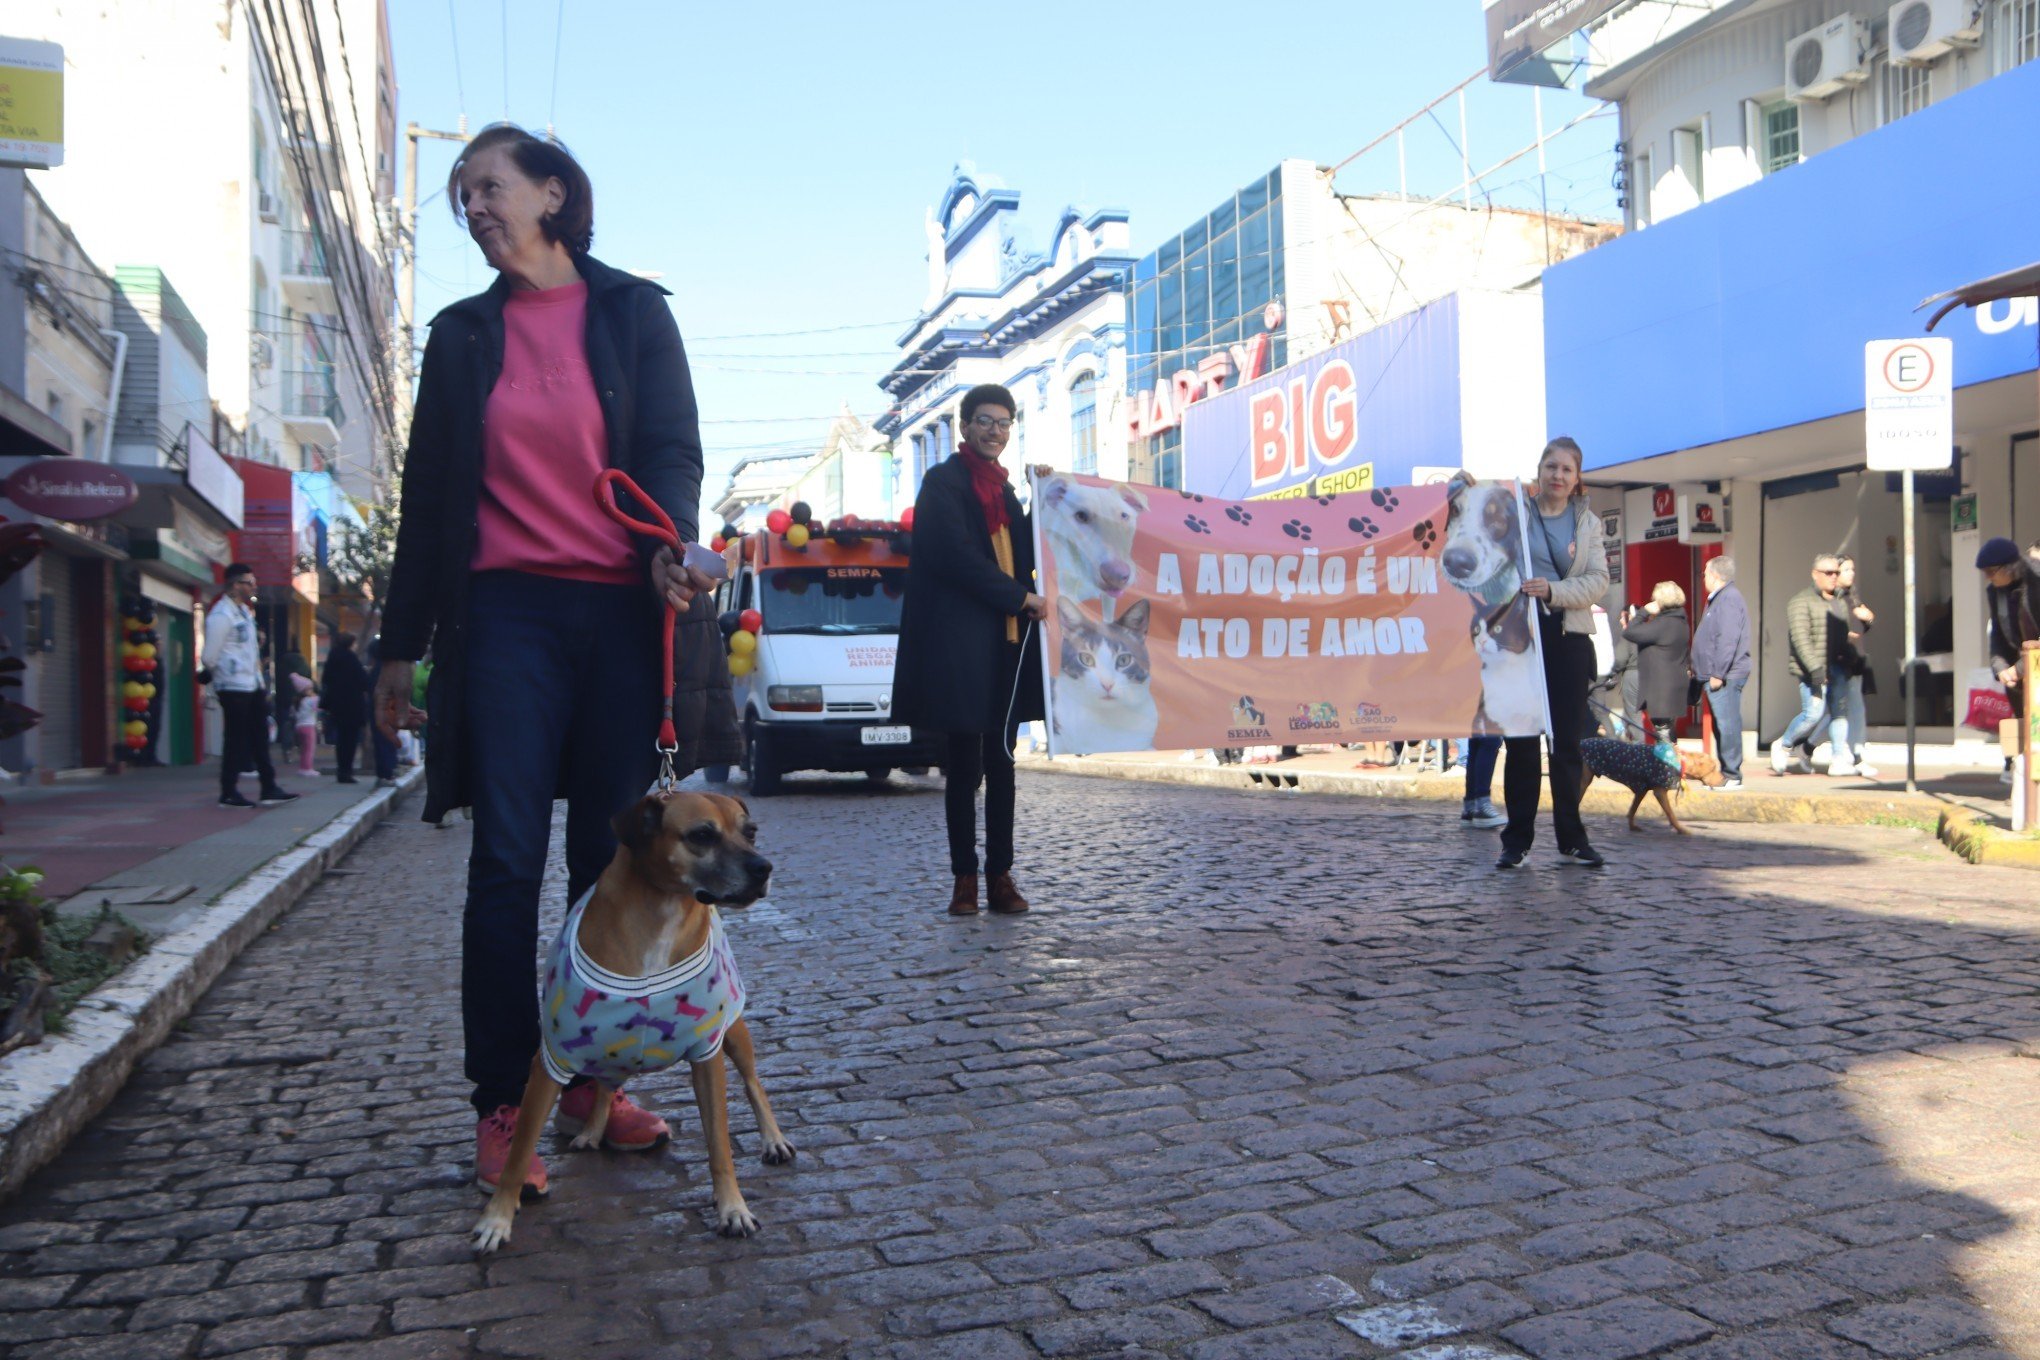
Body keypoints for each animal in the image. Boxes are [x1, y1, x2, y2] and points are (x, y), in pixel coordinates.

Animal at [471, 799, 795, 1256]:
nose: (763, 867)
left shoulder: (707, 1056)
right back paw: (593, 1128)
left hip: (734, 1032)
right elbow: (518, 1153)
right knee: (606, 1085)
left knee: (753, 1083)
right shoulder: (549, 1063)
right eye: (701, 835)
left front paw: (733, 1209)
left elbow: (720, 1146)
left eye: (750, 832)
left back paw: (773, 1139)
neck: (663, 913)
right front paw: (496, 1219)